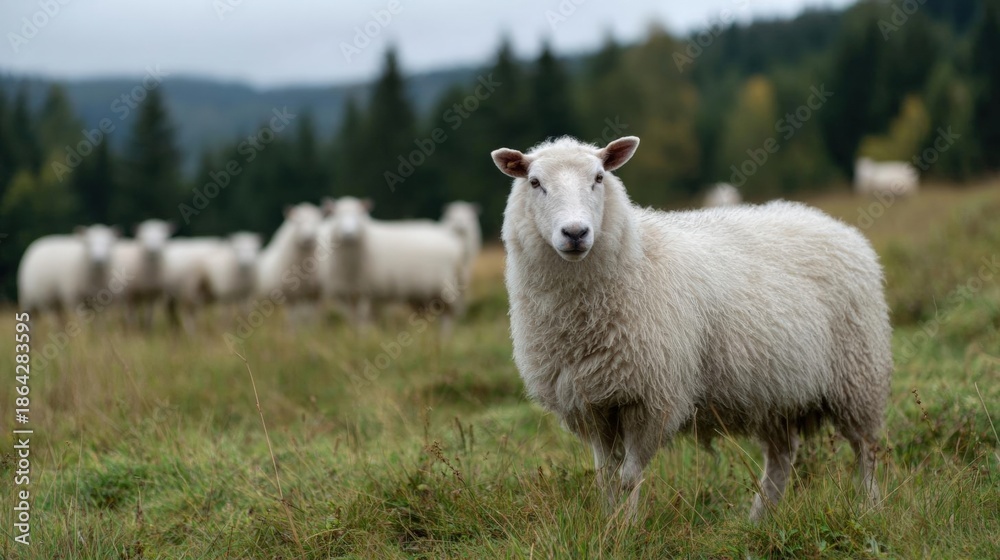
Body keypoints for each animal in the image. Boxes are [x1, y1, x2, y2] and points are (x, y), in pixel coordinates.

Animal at [318, 197, 465, 332]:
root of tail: (454, 242)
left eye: (359, 214)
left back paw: (444, 338)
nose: (348, 234)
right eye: (336, 214)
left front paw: (363, 337)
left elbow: (363, 318)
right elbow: (352, 319)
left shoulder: (367, 292)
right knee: (424, 316)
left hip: (444, 289)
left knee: (448, 315)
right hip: (421, 294)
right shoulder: (343, 294)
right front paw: (354, 336)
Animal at [491, 136, 893, 521]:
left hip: (858, 375)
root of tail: (832, 223)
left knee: (867, 450)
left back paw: (871, 509)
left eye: (599, 178)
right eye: (535, 182)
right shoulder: (593, 405)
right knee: (781, 458)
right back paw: (760, 519)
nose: (575, 233)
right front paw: (608, 524)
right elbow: (606, 478)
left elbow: (629, 478)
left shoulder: (654, 399)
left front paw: (626, 528)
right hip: (775, 393)